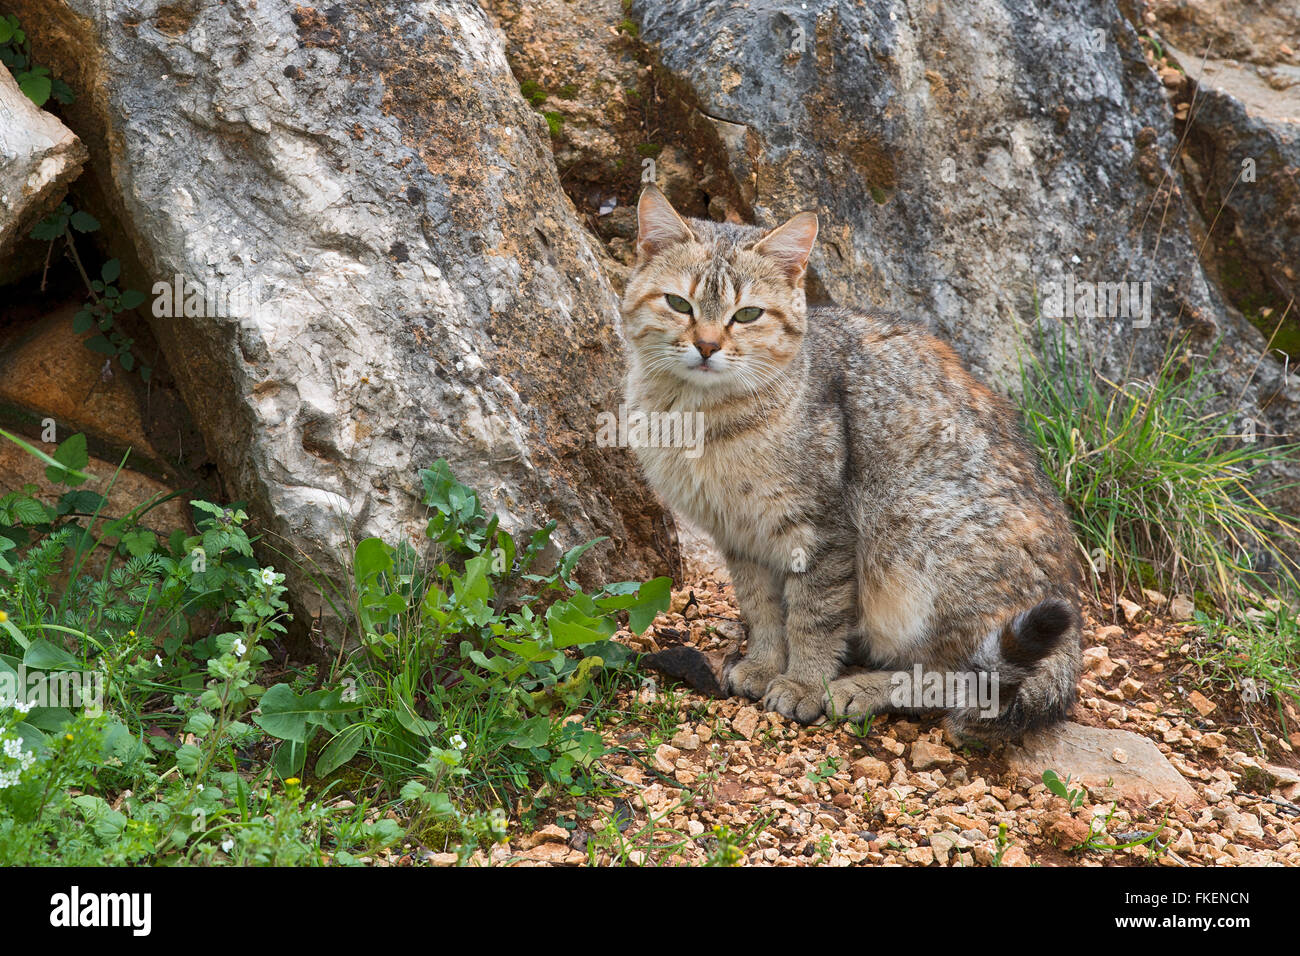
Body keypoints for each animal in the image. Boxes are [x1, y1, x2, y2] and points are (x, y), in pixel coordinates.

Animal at [613, 184, 1081, 738]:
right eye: (677, 303)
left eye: (747, 315)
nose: (706, 345)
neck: (699, 418)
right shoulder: (740, 535)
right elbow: (762, 608)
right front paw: (765, 663)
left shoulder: (822, 530)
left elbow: (813, 615)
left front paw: (803, 683)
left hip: (914, 538)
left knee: (962, 679)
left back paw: (862, 688)